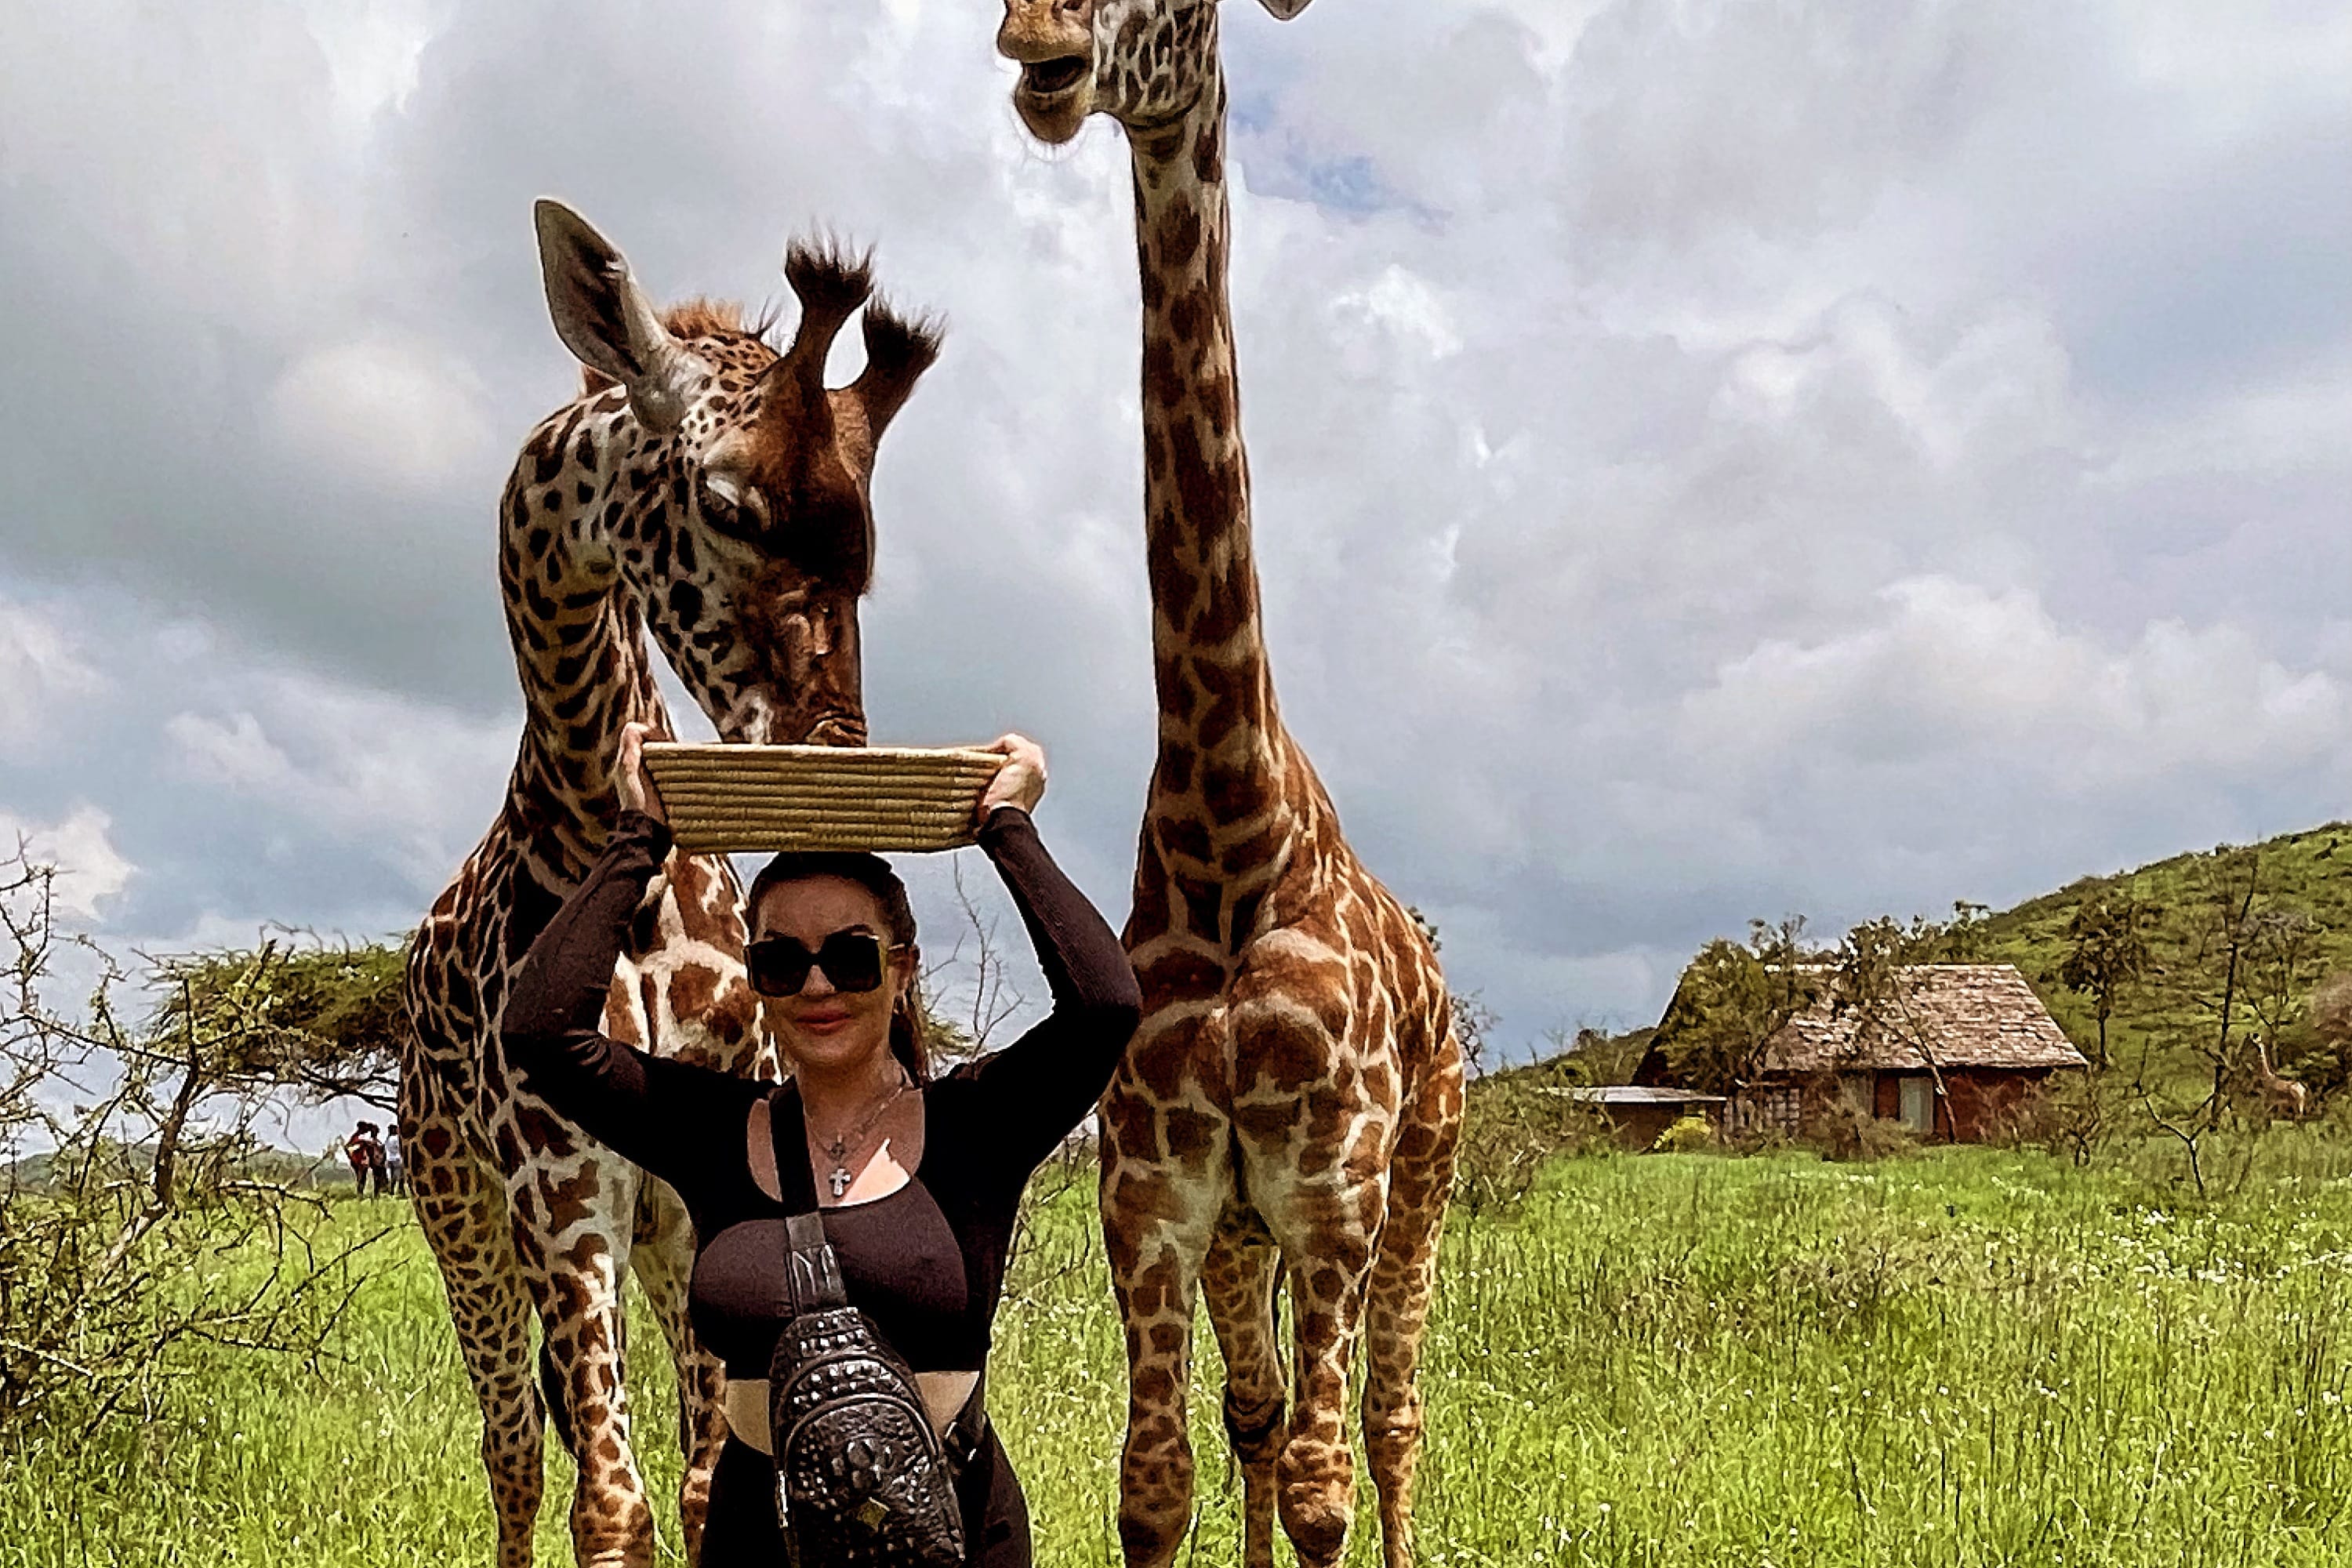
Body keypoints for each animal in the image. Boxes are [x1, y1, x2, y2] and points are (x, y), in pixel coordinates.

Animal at [400, 199, 939, 1568]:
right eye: (731, 504)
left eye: (869, 546)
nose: (838, 753)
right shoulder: (560, 1188)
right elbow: (612, 1501)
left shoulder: (703, 1193)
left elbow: (704, 1490)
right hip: (460, 1219)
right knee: (512, 1451)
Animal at [996, 5, 1466, 1566]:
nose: (1036, 41)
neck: (1226, 829)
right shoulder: (1157, 1200)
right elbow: (1161, 1485)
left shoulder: (1330, 1195)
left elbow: (1323, 1492)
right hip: (1244, 1239)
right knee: (1258, 1419)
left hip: (1419, 1185)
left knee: (1386, 1423)